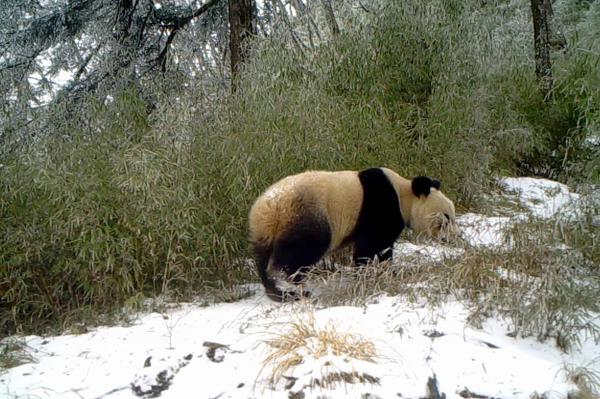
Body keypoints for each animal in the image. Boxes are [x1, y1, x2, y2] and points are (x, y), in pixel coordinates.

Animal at [246, 167, 458, 302]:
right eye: (446, 218)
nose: (451, 238)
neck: (403, 193)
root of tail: (268, 210)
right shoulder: (380, 207)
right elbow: (372, 246)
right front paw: (373, 274)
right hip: (307, 215)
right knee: (301, 250)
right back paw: (293, 284)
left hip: (263, 232)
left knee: (263, 259)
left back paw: (277, 291)